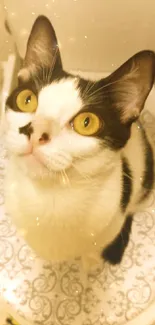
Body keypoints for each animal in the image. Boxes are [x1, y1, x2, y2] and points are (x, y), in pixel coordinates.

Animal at [3, 15, 155, 268]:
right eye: (27, 100)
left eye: (86, 122)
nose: (34, 131)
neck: (51, 199)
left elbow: (92, 252)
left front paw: (91, 262)